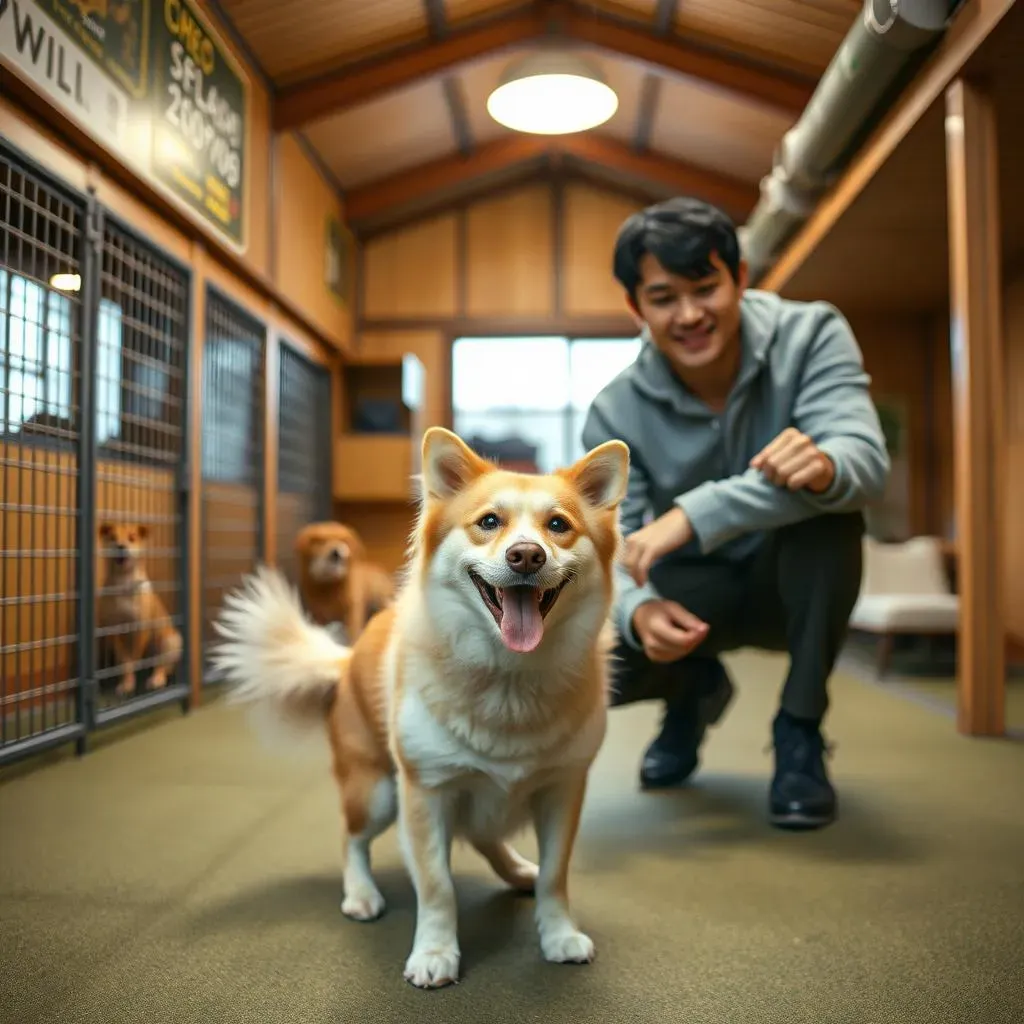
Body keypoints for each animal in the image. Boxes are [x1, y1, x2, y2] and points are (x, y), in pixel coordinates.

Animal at [97, 520, 182, 696]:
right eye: (112, 537)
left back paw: (157, 679)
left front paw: (129, 681)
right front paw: (126, 682)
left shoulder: (141, 628)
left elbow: (133, 657)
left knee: (162, 665)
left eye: (132, 538)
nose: (121, 546)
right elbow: (124, 660)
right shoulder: (114, 630)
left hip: (171, 641)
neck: (123, 582)